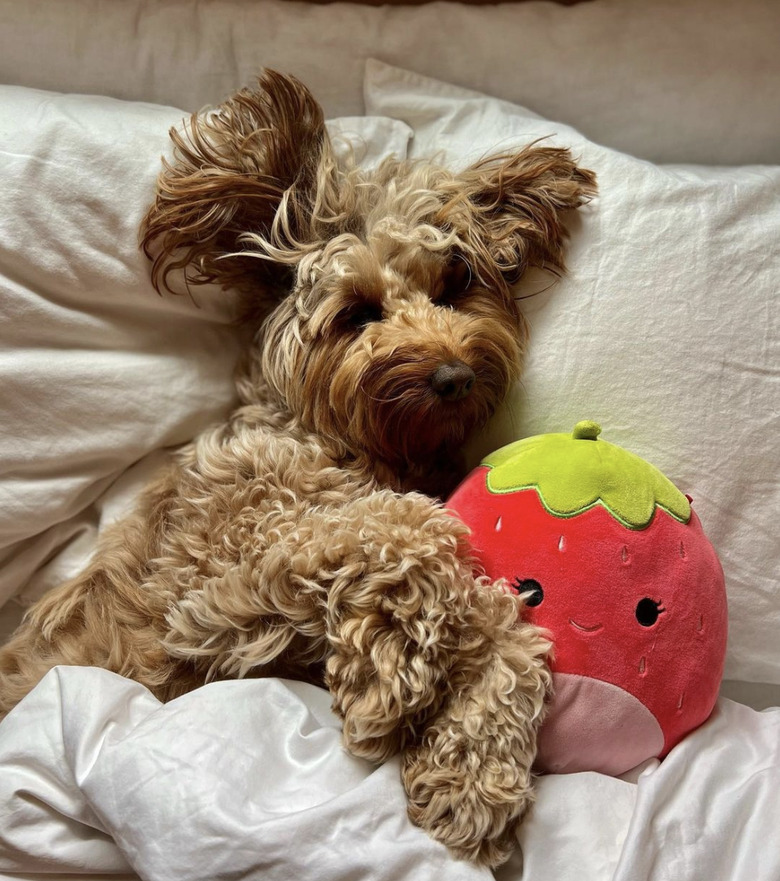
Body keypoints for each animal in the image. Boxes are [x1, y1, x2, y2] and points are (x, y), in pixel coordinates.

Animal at [0, 70, 596, 868]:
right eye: (357, 313)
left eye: (454, 286)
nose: (454, 376)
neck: (346, 446)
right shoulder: (214, 586)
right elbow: (409, 533)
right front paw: (394, 675)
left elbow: (512, 634)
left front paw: (470, 772)